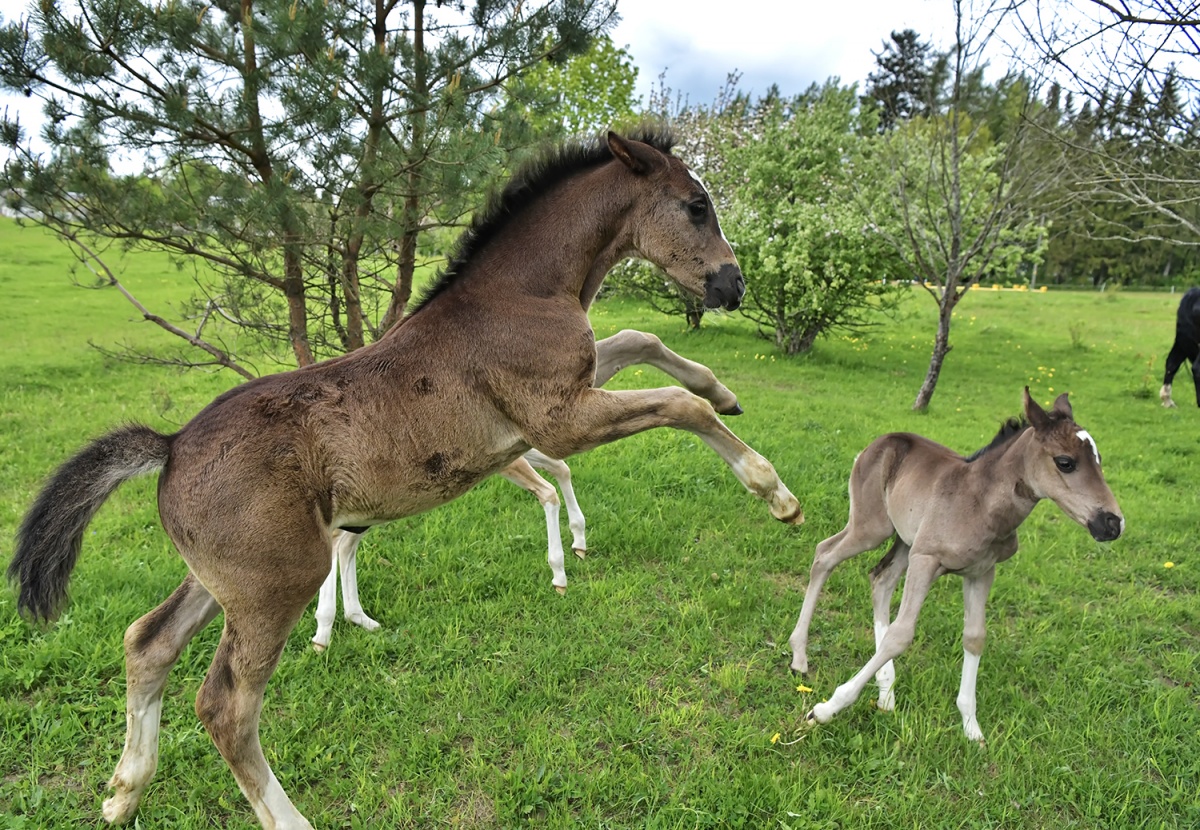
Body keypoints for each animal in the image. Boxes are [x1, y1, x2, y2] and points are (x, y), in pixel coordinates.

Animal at [311, 328, 744, 651]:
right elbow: (549, 487)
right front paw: (560, 569)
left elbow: (560, 470)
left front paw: (577, 541)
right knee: (338, 543)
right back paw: (327, 628)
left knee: (345, 544)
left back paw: (356, 618)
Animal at [787, 389, 1123, 742]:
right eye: (1065, 462)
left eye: (1099, 460)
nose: (1112, 524)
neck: (981, 504)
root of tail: (877, 443)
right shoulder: (926, 560)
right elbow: (900, 635)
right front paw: (825, 710)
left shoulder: (981, 572)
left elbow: (974, 636)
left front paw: (971, 726)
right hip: (872, 528)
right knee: (825, 555)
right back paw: (800, 657)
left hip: (905, 540)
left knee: (880, 579)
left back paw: (886, 691)